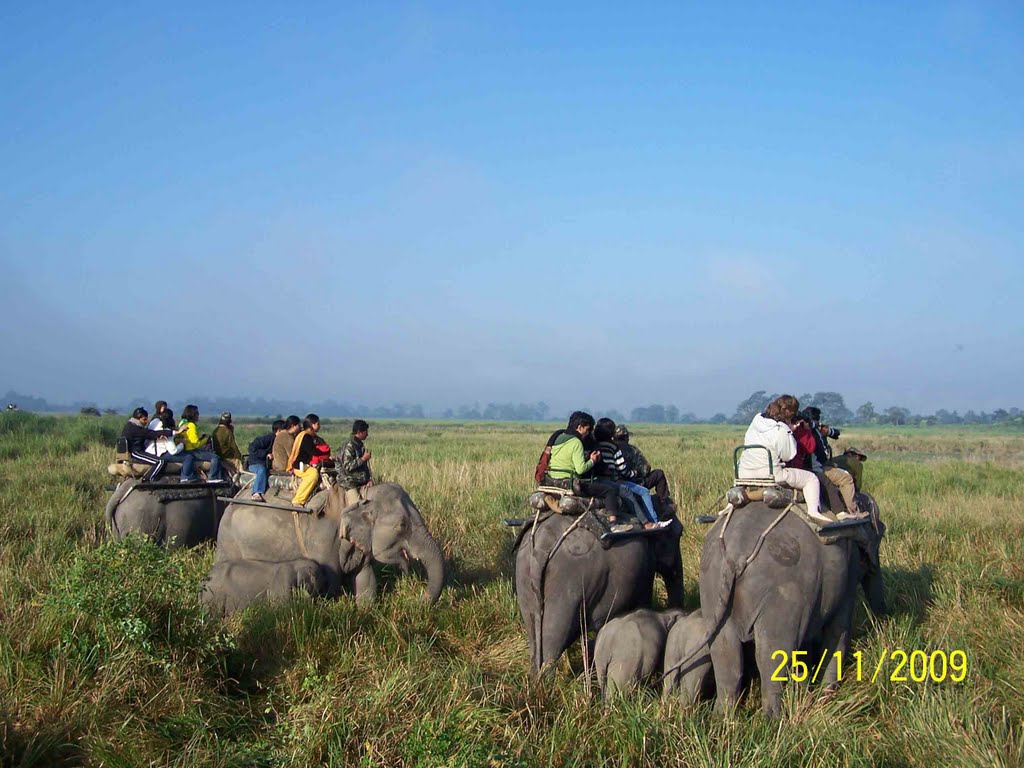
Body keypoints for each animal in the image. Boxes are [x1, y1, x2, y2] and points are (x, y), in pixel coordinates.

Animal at [216, 483, 444, 606]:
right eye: (402, 525)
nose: (418, 600)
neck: (360, 496)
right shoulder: (323, 538)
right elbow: (330, 584)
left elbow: (365, 579)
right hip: (228, 540)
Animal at [509, 514, 679, 675]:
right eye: (678, 534)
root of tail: (541, 547)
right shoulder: (644, 571)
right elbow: (642, 602)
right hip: (567, 585)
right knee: (553, 643)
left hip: (523, 578)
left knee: (534, 639)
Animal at [688, 495, 888, 720]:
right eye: (881, 533)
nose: (884, 620)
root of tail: (736, 554)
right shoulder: (848, 571)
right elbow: (839, 629)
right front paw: (825, 697)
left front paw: (807, 689)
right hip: (783, 594)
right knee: (772, 655)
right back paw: (773, 720)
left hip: (711, 585)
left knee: (726, 655)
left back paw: (722, 718)